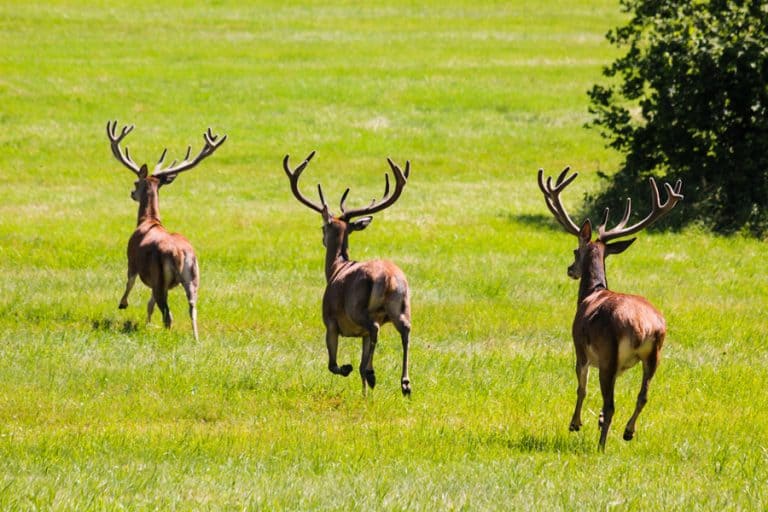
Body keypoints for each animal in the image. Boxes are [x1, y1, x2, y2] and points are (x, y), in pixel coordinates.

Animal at [106, 120, 226, 341]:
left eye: (136, 182)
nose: (132, 193)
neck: (148, 221)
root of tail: (180, 254)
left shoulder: (131, 259)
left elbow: (129, 282)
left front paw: (123, 303)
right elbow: (149, 303)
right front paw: (146, 322)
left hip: (159, 275)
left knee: (168, 314)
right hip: (193, 277)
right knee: (192, 308)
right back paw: (196, 338)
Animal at [283, 151, 412, 396]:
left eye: (323, 227)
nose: (323, 237)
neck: (336, 269)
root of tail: (388, 278)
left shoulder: (330, 321)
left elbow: (332, 364)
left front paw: (347, 368)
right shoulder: (360, 334)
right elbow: (361, 361)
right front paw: (365, 395)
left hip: (355, 307)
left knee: (375, 328)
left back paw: (374, 374)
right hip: (401, 305)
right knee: (404, 330)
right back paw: (405, 383)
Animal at [537, 167, 683, 451]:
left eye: (575, 250)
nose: (570, 269)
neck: (592, 293)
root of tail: (644, 327)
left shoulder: (579, 347)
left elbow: (581, 387)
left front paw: (575, 423)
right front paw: (596, 421)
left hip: (608, 352)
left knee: (611, 402)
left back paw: (601, 446)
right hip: (654, 354)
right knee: (643, 396)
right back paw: (628, 432)